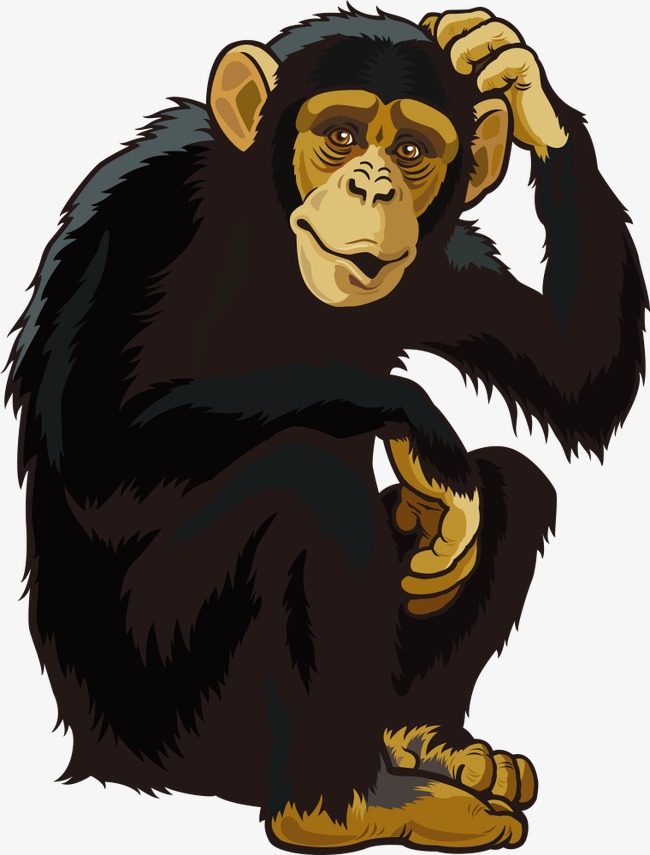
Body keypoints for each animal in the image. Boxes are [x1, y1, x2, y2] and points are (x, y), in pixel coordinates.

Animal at [5, 6, 646, 851]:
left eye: (411, 150)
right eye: (340, 135)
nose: (372, 183)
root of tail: (95, 750)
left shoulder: (443, 265)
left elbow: (578, 375)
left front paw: (511, 70)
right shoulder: (146, 217)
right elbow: (97, 438)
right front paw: (423, 429)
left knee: (518, 479)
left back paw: (427, 743)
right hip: (167, 716)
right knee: (304, 485)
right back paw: (343, 804)